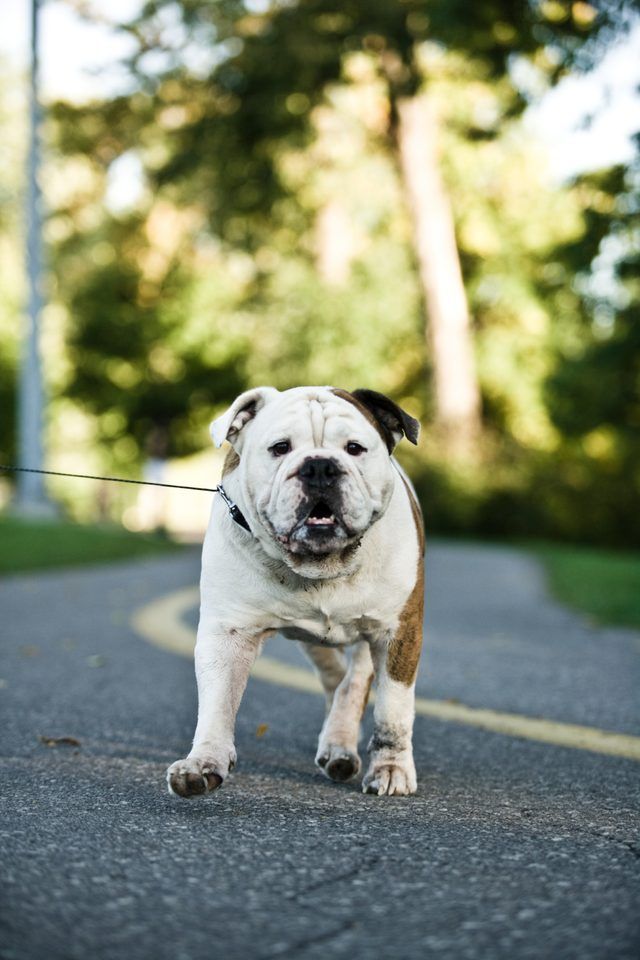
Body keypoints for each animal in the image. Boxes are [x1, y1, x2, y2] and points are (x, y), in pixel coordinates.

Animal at [168, 386, 422, 800]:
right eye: (280, 448)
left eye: (354, 448)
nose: (319, 466)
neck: (321, 565)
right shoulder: (227, 634)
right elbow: (218, 703)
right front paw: (204, 762)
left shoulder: (398, 632)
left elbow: (393, 709)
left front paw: (391, 768)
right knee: (335, 678)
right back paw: (338, 744)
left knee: (355, 680)